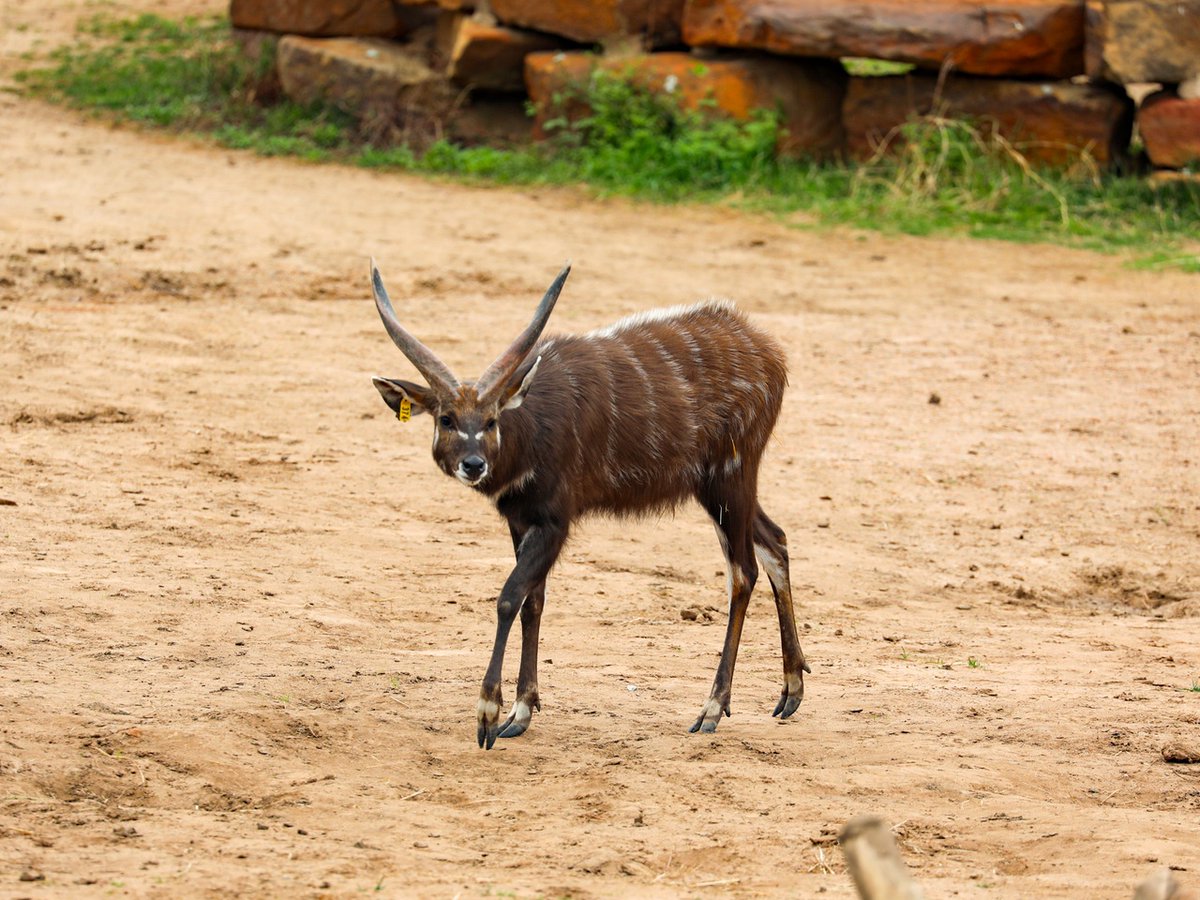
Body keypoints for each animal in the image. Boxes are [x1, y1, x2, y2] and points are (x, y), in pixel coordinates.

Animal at [369, 259, 811, 748]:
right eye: (446, 418)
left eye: (491, 419)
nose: (473, 463)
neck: (531, 427)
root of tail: (770, 352)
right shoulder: (522, 520)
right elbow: (534, 599)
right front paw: (520, 713)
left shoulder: (555, 520)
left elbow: (509, 597)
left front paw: (488, 715)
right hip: (718, 487)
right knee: (775, 540)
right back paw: (791, 691)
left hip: (730, 476)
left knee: (743, 570)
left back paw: (712, 708)